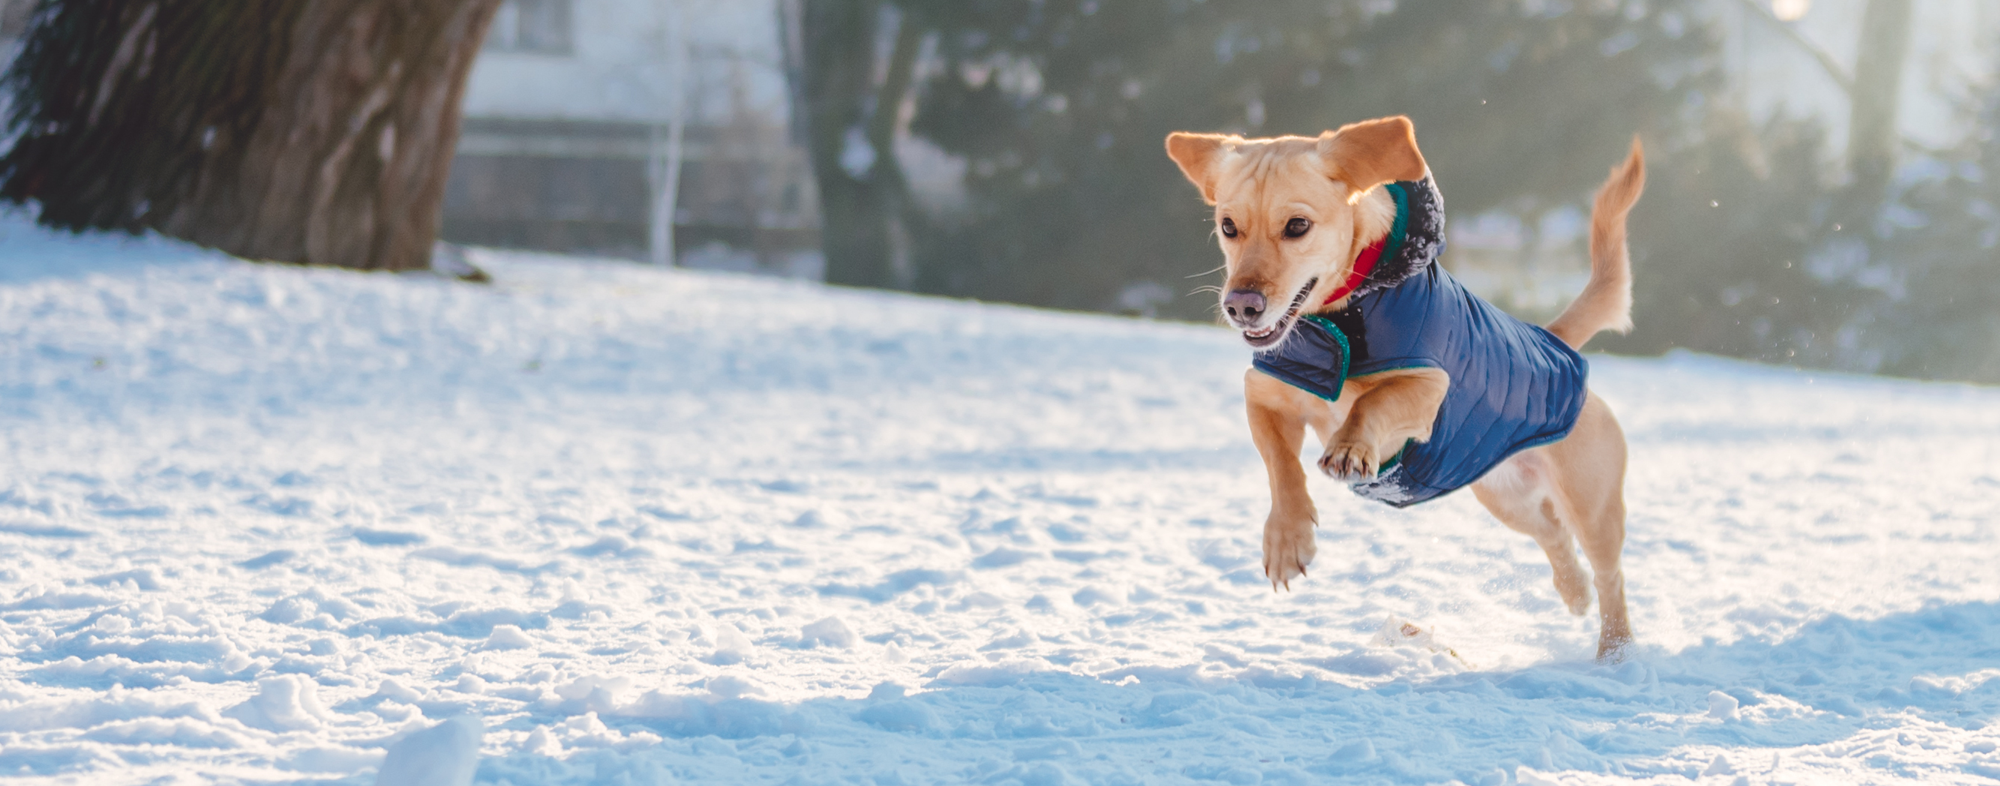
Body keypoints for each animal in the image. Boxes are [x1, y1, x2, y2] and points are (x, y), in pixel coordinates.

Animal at [1168, 115, 1648, 656]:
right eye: (1229, 227)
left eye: (1297, 226)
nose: (1241, 306)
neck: (1340, 319)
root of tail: (1553, 341)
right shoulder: (1263, 392)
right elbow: (1280, 466)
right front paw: (1287, 540)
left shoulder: (1428, 386)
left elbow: (1373, 402)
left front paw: (1351, 447)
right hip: (1504, 497)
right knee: (1554, 536)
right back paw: (1574, 592)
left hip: (1592, 504)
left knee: (1610, 575)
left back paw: (1615, 650)